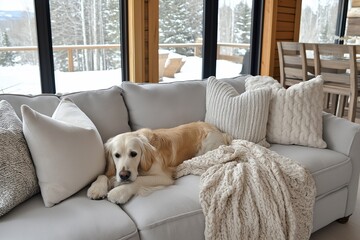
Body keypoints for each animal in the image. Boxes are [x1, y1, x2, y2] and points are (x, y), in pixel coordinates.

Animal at [88, 121, 232, 203]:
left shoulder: (164, 177)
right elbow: (102, 174)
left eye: (134, 154)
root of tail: (220, 132)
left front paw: (118, 192)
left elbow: (139, 180)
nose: (124, 175)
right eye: (116, 155)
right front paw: (96, 188)